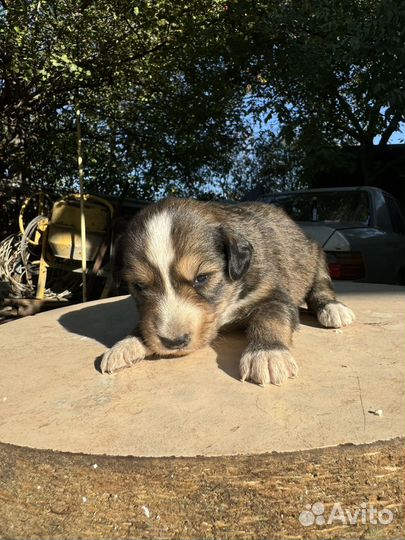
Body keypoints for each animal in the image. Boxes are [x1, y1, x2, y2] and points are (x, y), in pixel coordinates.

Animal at [101, 198, 354, 384]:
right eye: (139, 286)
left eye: (202, 278)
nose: (174, 342)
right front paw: (125, 344)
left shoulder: (272, 294)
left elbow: (271, 319)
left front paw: (267, 354)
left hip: (315, 257)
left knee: (320, 287)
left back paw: (333, 309)